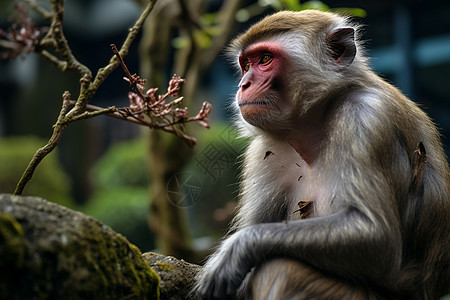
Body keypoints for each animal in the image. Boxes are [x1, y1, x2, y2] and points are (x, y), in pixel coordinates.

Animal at [196, 9, 450, 300]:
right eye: (246, 65)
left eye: (265, 59)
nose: (243, 84)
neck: (314, 125)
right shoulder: (263, 150)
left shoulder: (366, 116)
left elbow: (376, 236)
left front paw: (236, 249)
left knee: (281, 270)